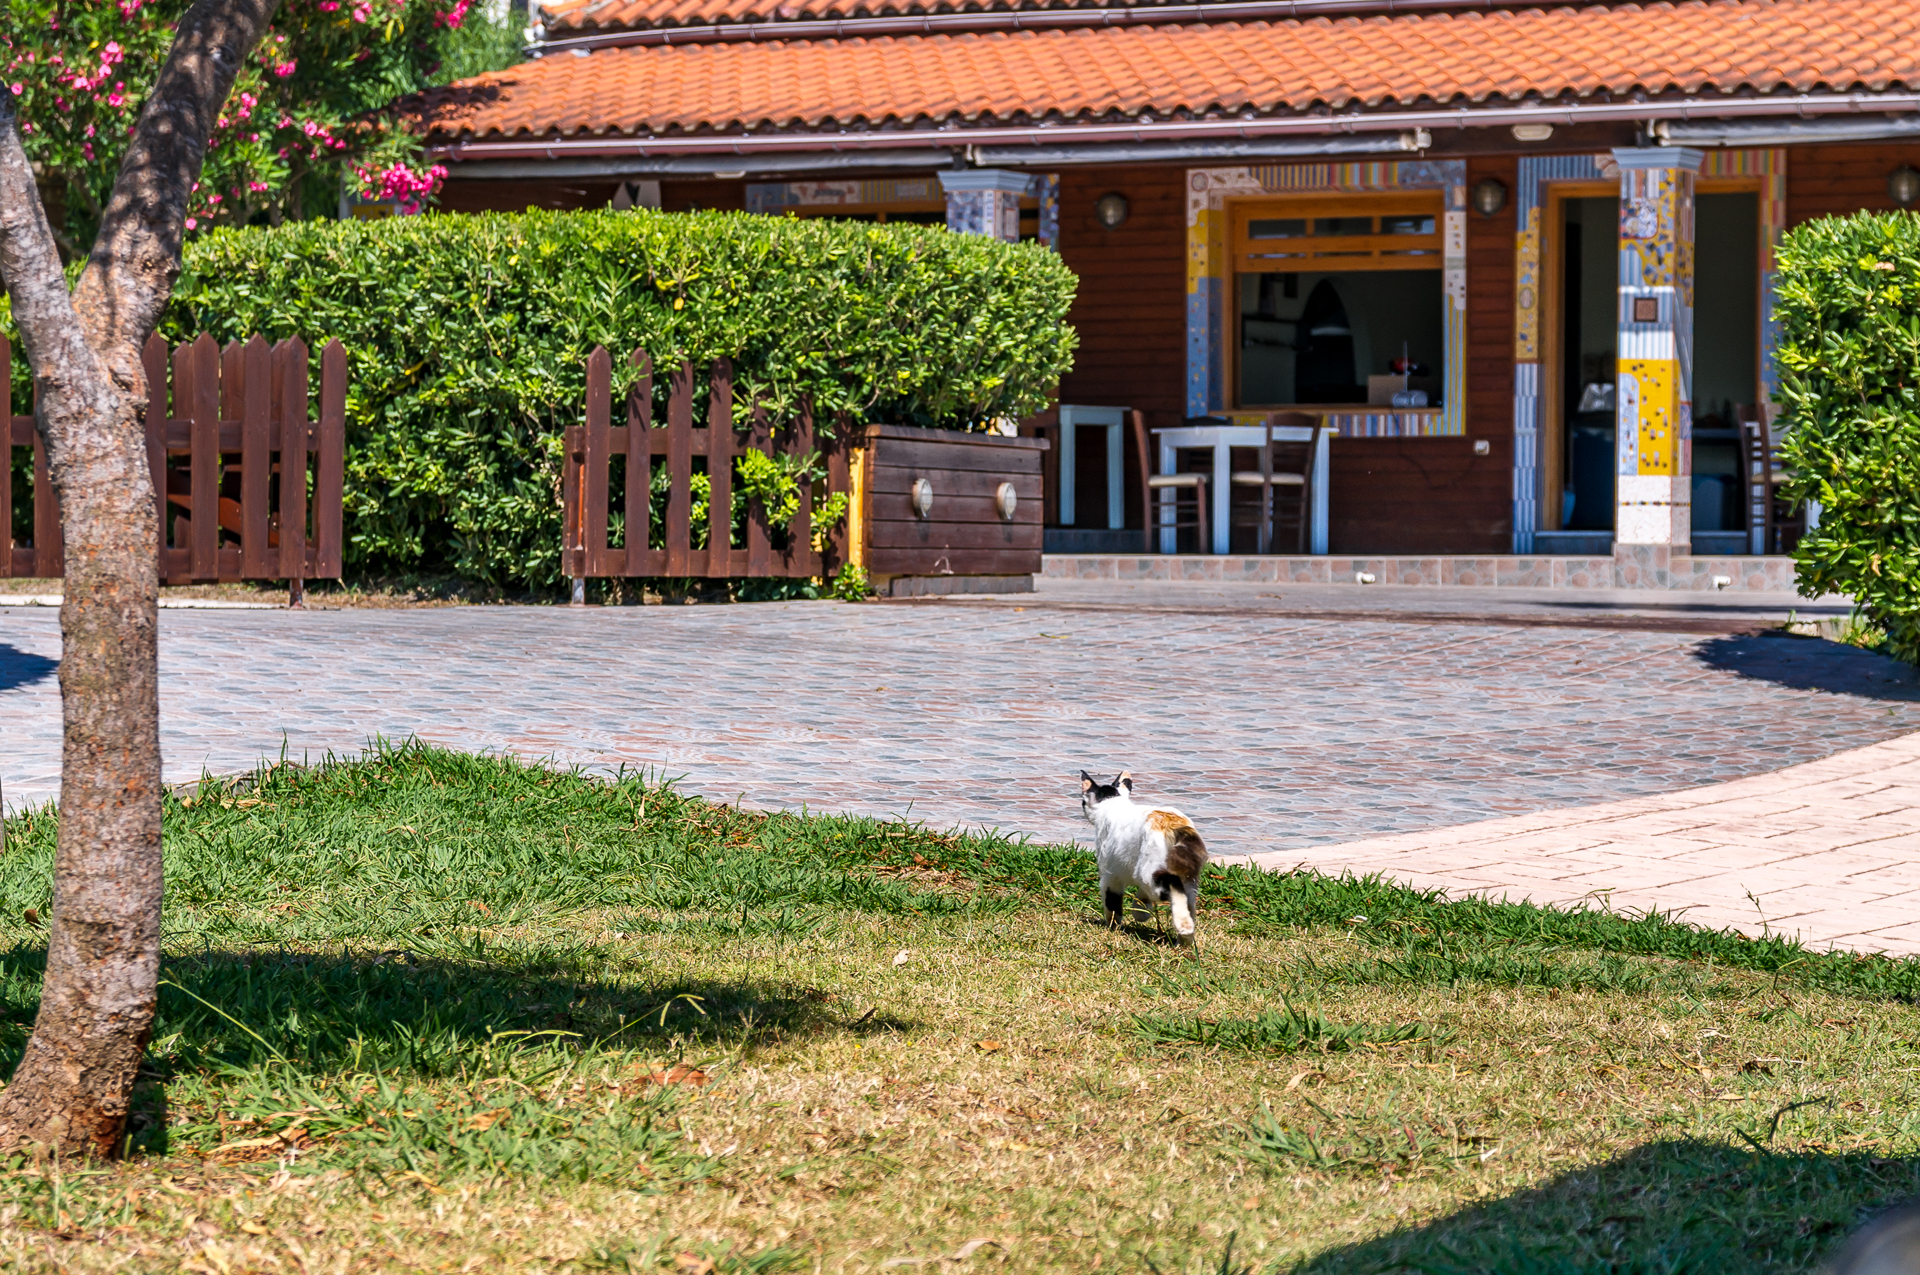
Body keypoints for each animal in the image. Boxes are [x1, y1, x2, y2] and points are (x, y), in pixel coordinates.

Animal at [1075, 771, 1205, 940]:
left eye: (1083, 802)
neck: (1116, 805)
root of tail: (1175, 825)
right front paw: (1140, 907)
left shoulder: (1110, 876)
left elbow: (1112, 905)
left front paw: (1114, 926)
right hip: (1187, 878)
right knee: (1187, 899)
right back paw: (1184, 940)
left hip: (1149, 872)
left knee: (1171, 886)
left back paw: (1184, 925)